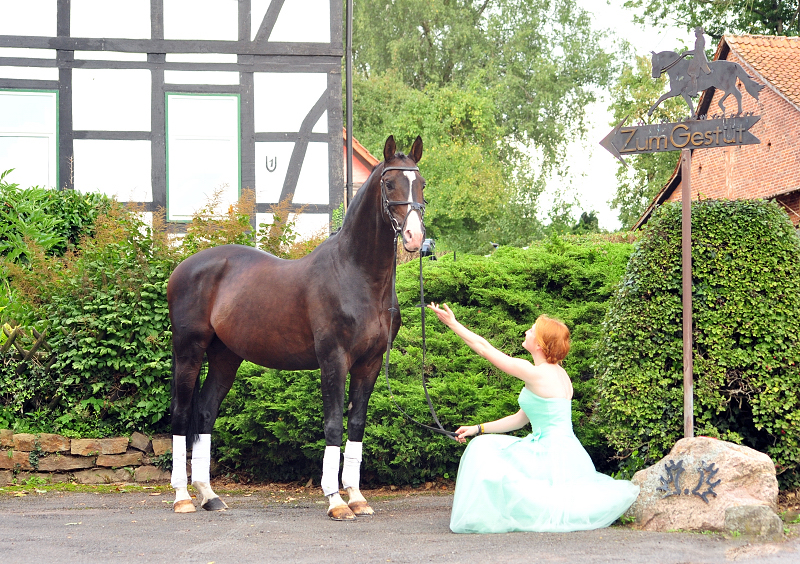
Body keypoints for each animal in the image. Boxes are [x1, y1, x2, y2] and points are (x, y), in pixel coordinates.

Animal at [167, 133, 424, 520]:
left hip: (226, 357)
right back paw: (183, 497)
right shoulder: (334, 359)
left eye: (421, 183)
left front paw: (357, 497)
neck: (357, 275)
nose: (414, 237)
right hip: (189, 351)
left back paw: (209, 495)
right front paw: (336, 501)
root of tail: (183, 267)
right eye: (390, 183)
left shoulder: (371, 363)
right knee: (182, 415)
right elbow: (333, 424)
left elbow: (357, 425)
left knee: (206, 412)